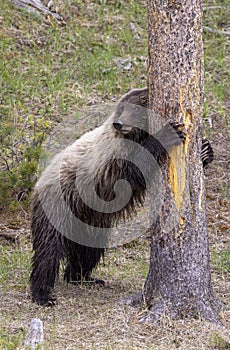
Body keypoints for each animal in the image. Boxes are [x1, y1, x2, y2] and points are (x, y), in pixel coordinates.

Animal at [29, 88, 213, 306]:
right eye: (122, 108)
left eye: (134, 109)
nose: (118, 123)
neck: (135, 135)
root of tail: (39, 182)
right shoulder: (113, 160)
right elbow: (135, 169)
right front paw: (168, 133)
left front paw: (205, 150)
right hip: (59, 205)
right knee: (48, 250)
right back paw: (43, 293)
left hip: (91, 221)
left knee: (89, 249)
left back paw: (83, 277)